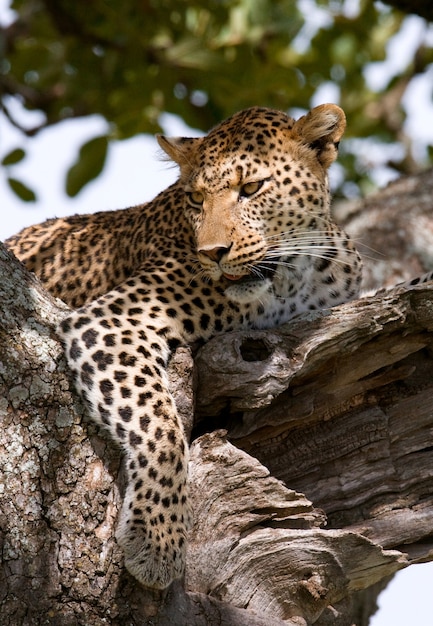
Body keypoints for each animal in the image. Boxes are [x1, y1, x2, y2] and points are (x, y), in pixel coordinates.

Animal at [5, 105, 364, 588]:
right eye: (195, 199)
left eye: (251, 188)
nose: (213, 252)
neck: (293, 276)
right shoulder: (113, 321)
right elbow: (160, 424)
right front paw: (157, 539)